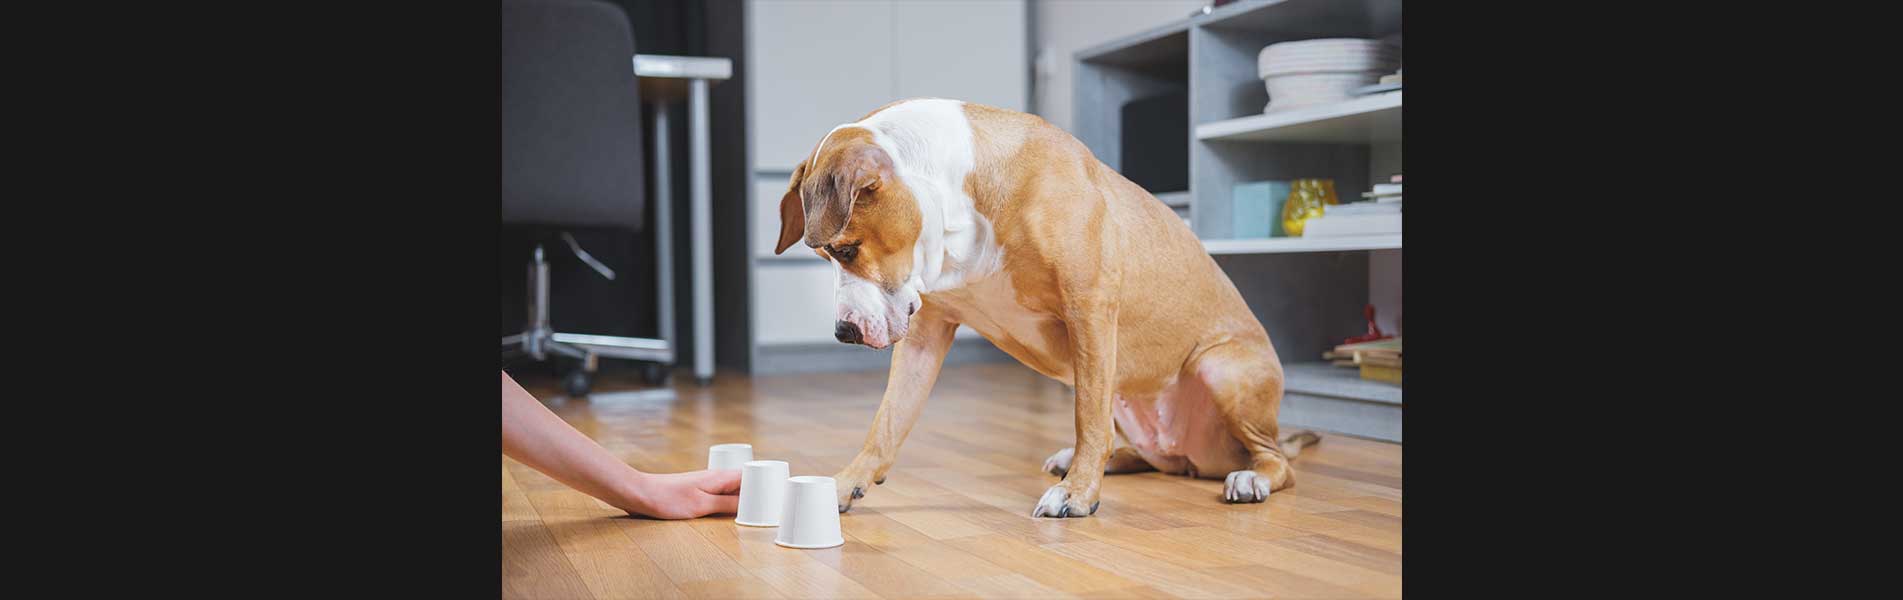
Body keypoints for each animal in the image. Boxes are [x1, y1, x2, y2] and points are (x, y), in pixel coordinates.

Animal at [780, 97, 1316, 518]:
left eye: (847, 249)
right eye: (826, 255)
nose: (844, 332)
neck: (960, 197)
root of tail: (1199, 457)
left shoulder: (1089, 307)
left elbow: (1086, 417)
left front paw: (1077, 494)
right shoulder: (926, 335)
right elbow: (887, 421)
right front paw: (845, 482)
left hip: (1220, 368)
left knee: (1274, 461)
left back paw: (1250, 479)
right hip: (1130, 396)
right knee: (1149, 453)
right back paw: (1106, 460)